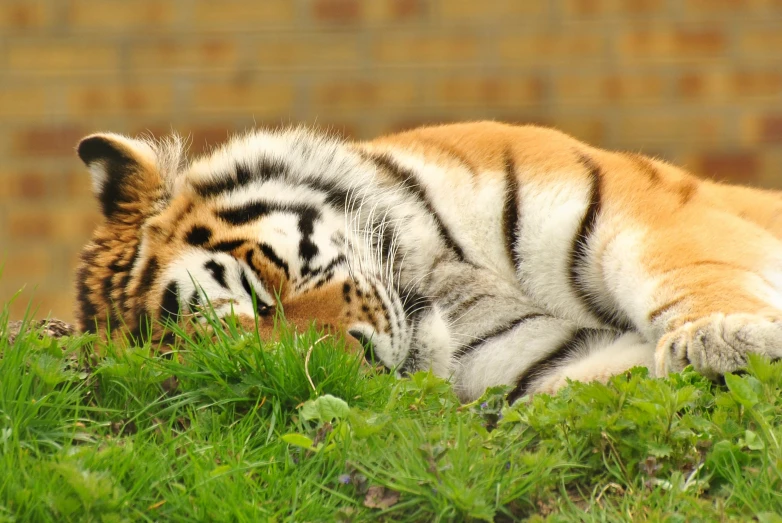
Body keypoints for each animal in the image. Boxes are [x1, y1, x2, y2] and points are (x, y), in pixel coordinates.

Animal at [76, 121, 782, 404]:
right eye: (241, 362)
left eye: (259, 299)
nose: (358, 361)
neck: (447, 286)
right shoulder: (556, 363)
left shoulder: (629, 207)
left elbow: (685, 272)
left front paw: (721, 339)